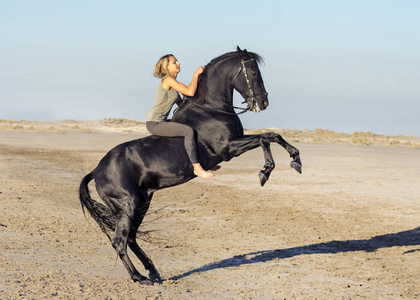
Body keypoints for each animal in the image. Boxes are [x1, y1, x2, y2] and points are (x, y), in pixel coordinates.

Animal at [79, 46, 302, 284]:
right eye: (253, 72)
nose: (264, 102)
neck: (211, 108)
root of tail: (97, 170)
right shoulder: (228, 149)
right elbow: (264, 139)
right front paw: (265, 172)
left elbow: (272, 135)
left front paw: (296, 160)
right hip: (128, 205)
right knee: (120, 241)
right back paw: (140, 277)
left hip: (141, 203)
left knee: (131, 239)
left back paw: (153, 271)